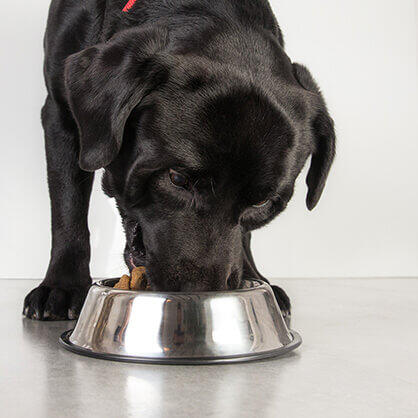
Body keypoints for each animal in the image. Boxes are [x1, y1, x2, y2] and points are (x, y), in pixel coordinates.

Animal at [23, 0, 336, 322]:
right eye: (178, 178)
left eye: (262, 202)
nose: (199, 291)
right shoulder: (60, 114)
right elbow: (67, 205)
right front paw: (63, 285)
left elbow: (242, 236)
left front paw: (254, 276)